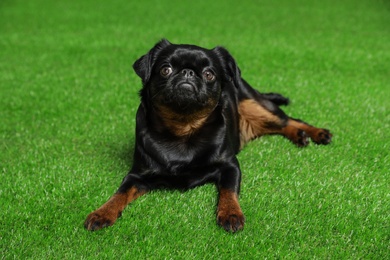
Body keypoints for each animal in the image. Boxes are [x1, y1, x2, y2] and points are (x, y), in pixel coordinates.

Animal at [84, 39, 330, 233]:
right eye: (165, 69)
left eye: (209, 74)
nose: (188, 73)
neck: (183, 129)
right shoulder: (136, 176)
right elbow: (119, 193)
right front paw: (102, 213)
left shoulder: (230, 166)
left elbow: (228, 191)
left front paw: (231, 214)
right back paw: (300, 136)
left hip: (254, 105)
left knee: (288, 120)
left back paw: (315, 133)